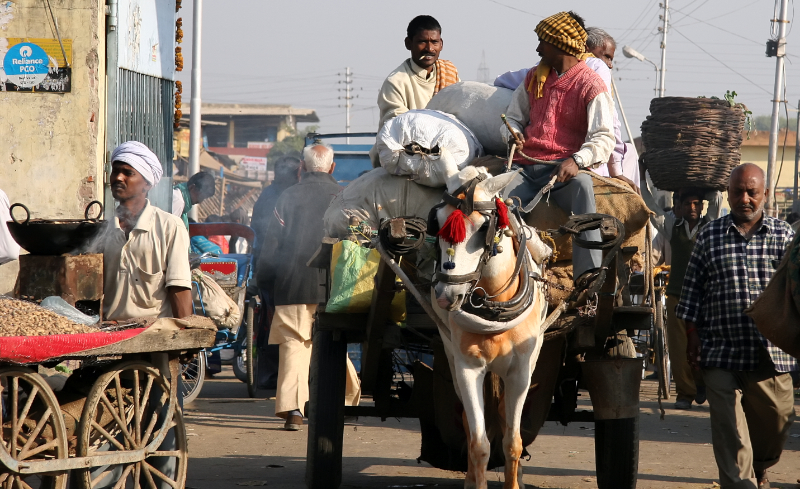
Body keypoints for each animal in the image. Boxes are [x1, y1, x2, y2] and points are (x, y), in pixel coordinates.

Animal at [432, 166, 552, 486]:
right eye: (436, 221)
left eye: (481, 228)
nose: (445, 295)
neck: (494, 308)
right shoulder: (467, 367)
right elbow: (479, 443)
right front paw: (476, 480)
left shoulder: (520, 372)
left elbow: (513, 442)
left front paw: (514, 479)